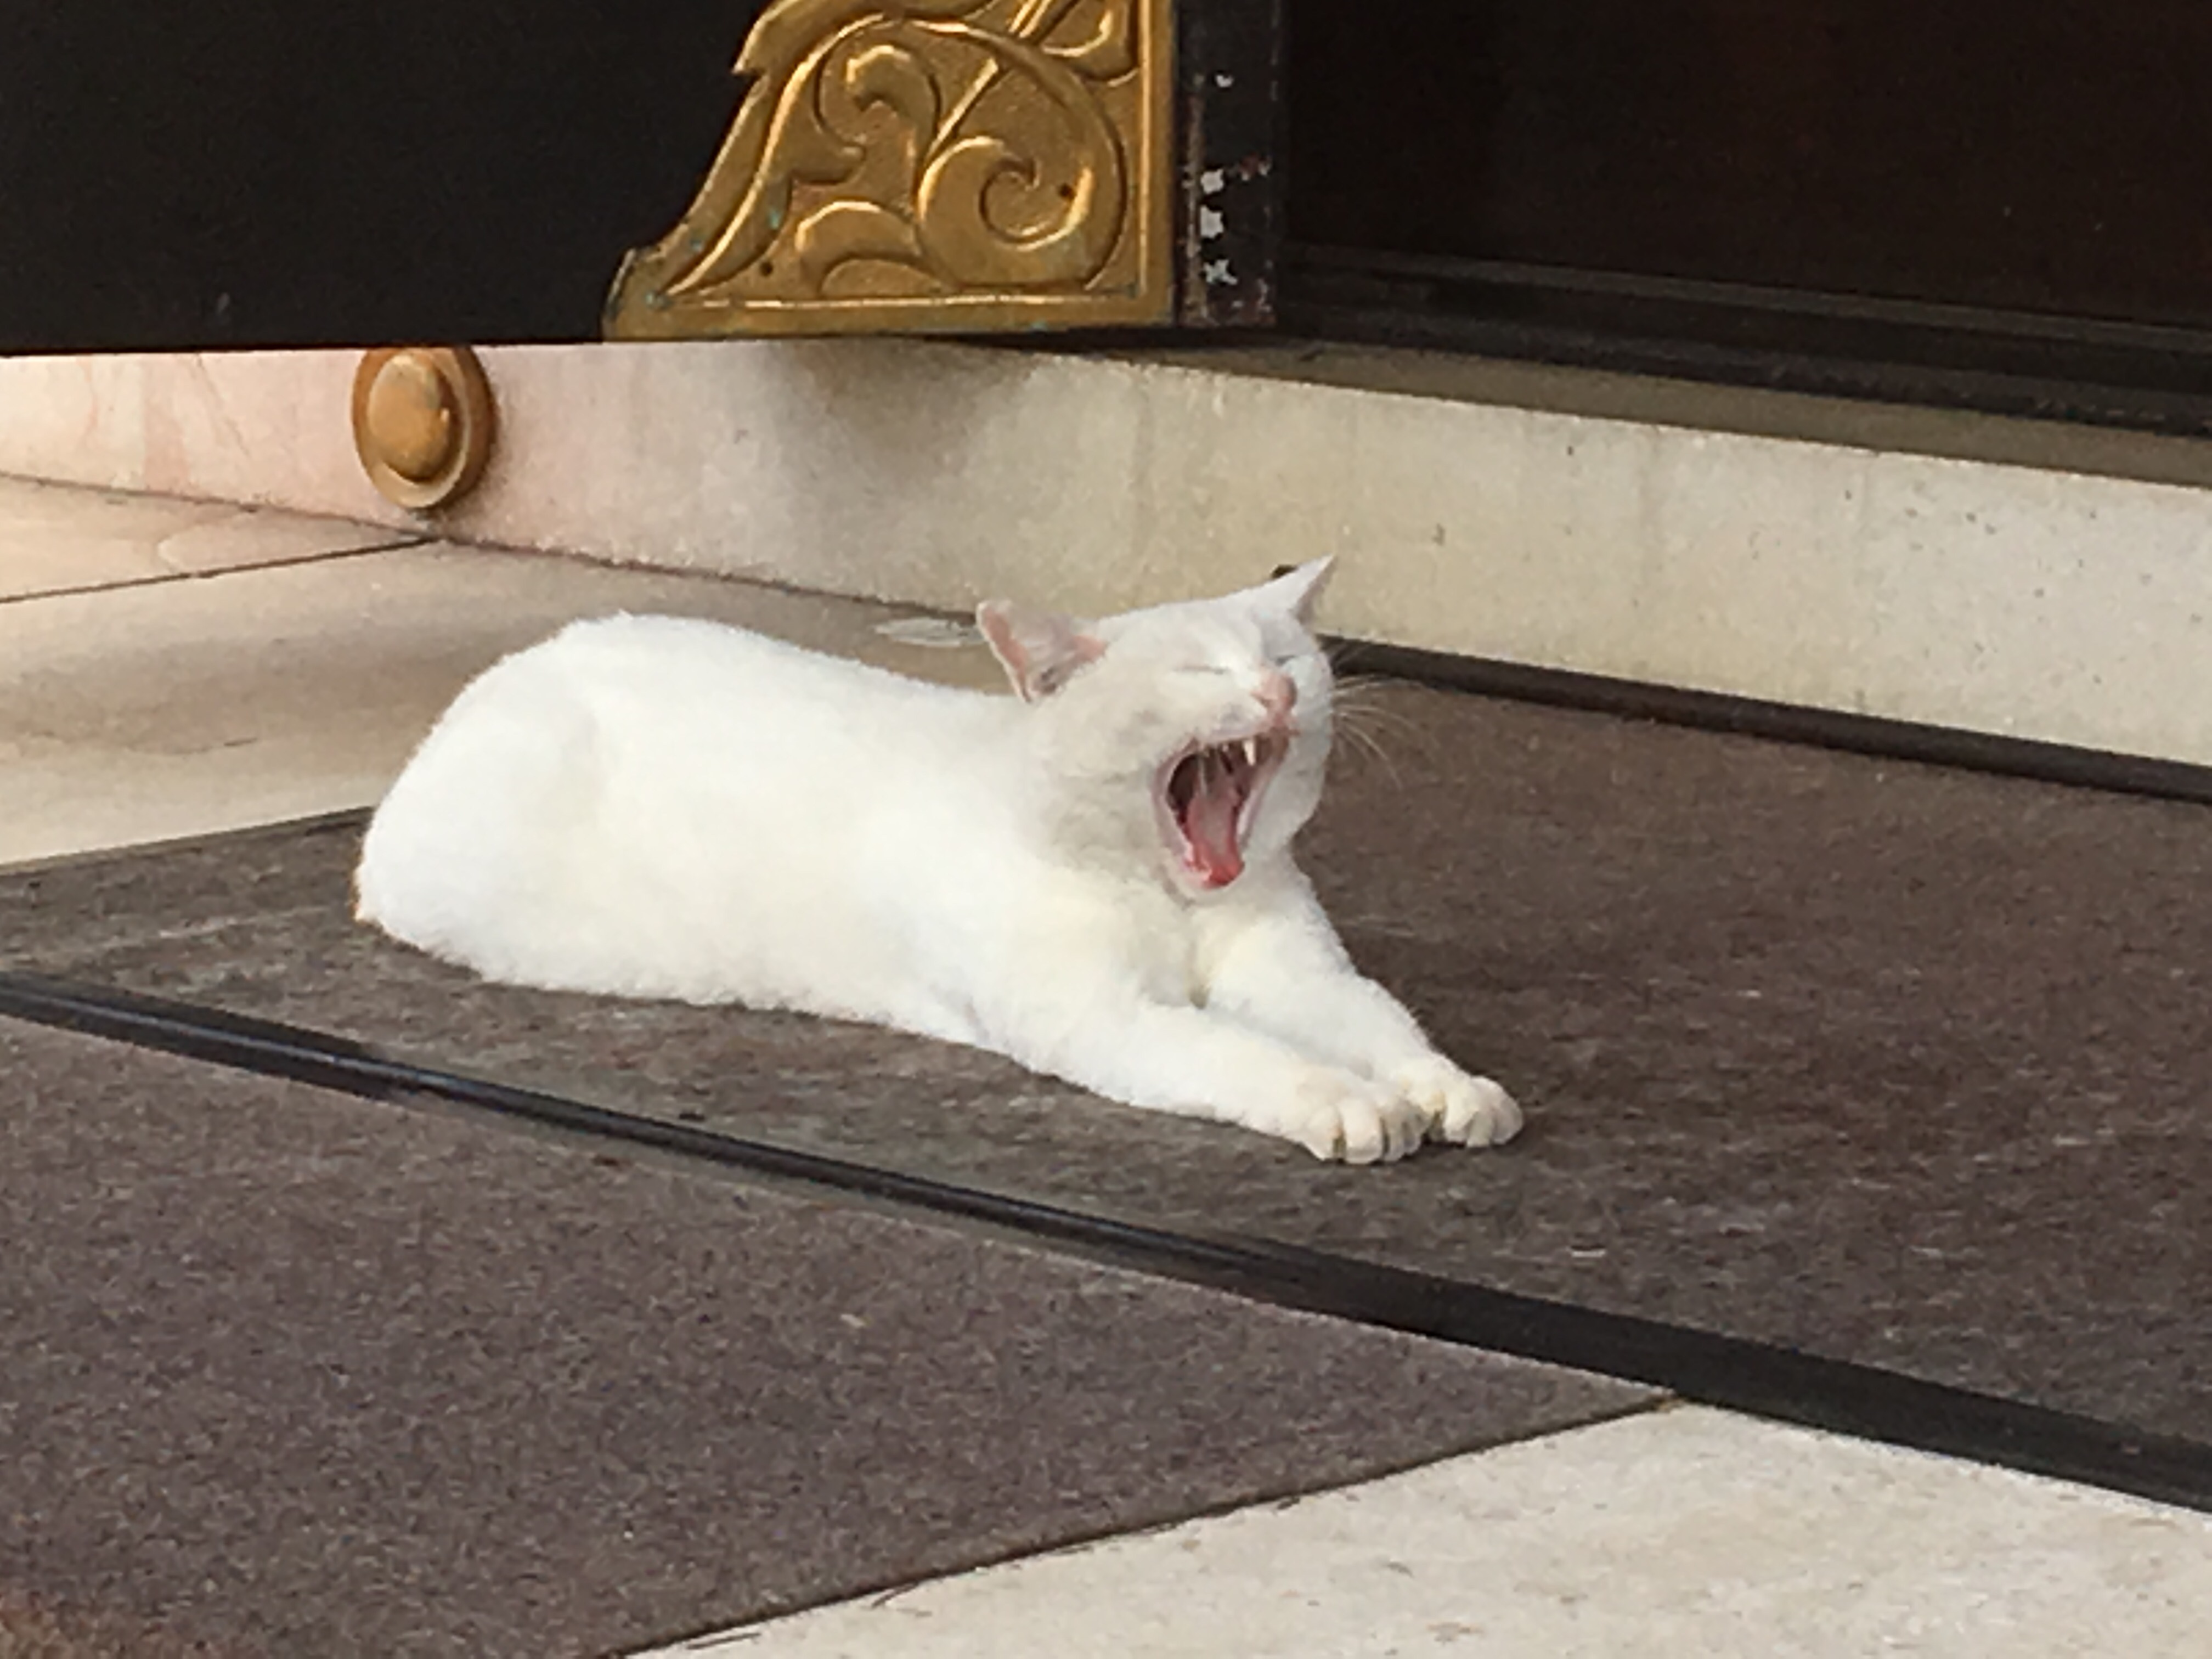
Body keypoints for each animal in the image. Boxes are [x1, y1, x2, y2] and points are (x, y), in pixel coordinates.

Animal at [354, 566, 1522, 1159]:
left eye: (1284, 659)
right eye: (1200, 671)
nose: (1276, 693)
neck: (1170, 896)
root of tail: (506, 672)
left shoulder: (1302, 976)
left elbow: (1378, 1024)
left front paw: (1444, 1086)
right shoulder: (1105, 1017)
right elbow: (1246, 1054)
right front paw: (1348, 1103)